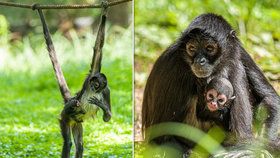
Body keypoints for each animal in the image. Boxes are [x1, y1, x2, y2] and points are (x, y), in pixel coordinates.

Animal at [36, 0, 111, 157]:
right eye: (93, 81)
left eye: (97, 83)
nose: (93, 85)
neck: (95, 90)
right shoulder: (90, 76)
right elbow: (98, 48)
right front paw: (105, 10)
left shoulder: (106, 90)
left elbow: (107, 118)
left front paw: (102, 106)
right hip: (64, 118)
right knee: (68, 141)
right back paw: (73, 105)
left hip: (77, 123)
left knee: (79, 146)